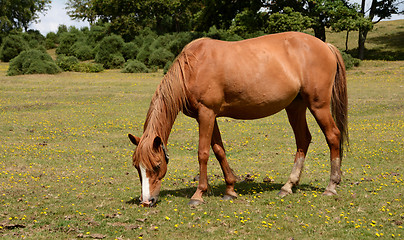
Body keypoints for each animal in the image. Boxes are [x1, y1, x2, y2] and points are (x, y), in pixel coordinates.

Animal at [129, 31, 348, 207]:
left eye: (157, 166)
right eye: (137, 167)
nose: (147, 201)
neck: (192, 68)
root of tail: (325, 46)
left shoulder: (206, 114)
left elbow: (203, 153)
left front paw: (198, 194)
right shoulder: (209, 116)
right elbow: (219, 151)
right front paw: (230, 189)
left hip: (318, 105)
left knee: (333, 136)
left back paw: (331, 186)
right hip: (295, 106)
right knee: (303, 140)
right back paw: (288, 186)